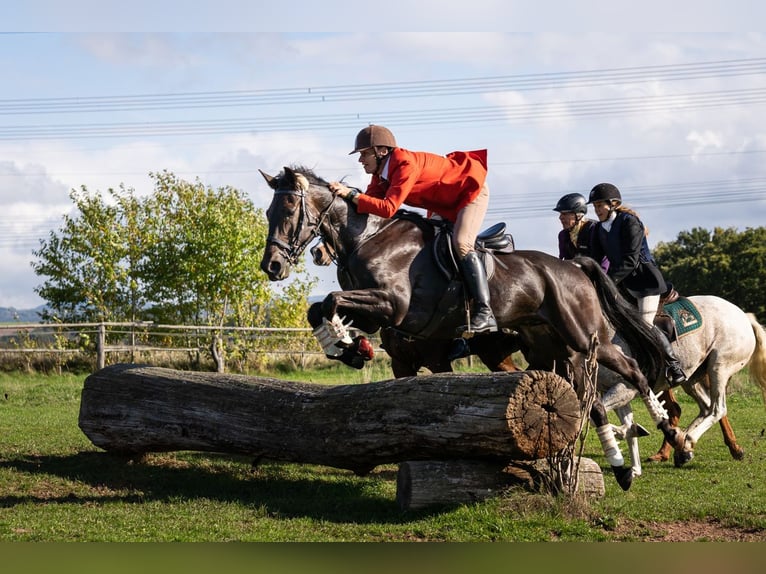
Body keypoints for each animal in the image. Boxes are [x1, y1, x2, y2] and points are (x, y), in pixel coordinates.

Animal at [259, 165, 686, 491]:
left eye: (290, 208)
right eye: (268, 213)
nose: (272, 267)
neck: (369, 237)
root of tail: (574, 265)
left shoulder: (395, 307)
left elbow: (331, 301)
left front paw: (346, 345)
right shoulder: (390, 334)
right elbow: (320, 308)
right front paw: (349, 348)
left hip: (585, 338)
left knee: (634, 373)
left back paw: (669, 435)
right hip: (549, 349)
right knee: (592, 401)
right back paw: (621, 466)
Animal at [599, 295, 766, 472]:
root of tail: (744, 316)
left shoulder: (625, 388)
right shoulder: (611, 390)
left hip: (719, 367)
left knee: (717, 409)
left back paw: (688, 440)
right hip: (692, 377)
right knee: (705, 407)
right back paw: (682, 444)